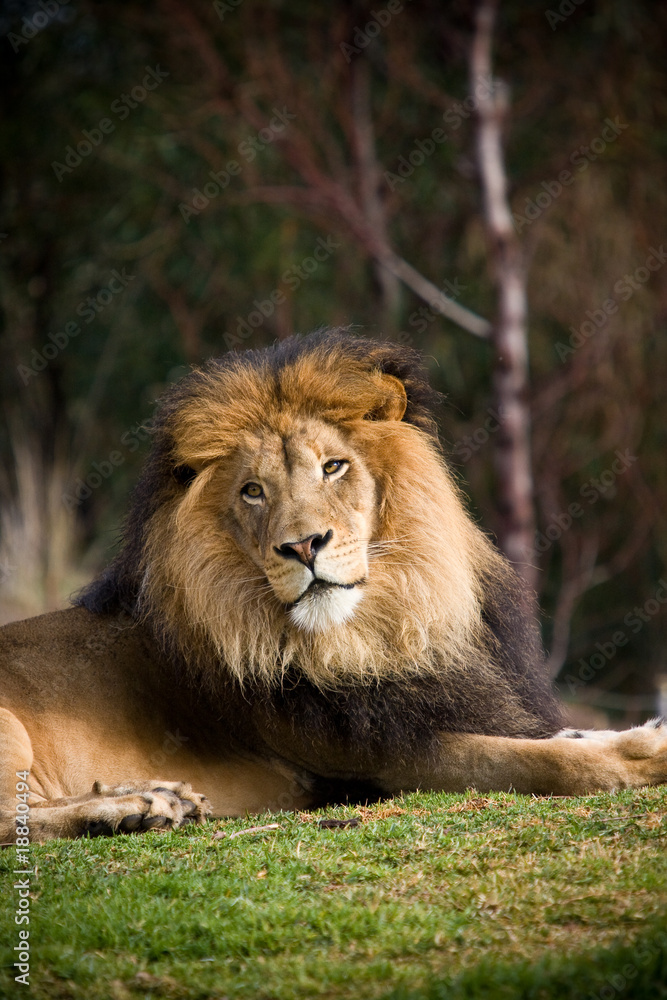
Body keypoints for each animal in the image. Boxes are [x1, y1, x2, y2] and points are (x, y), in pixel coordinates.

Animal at [1, 330, 666, 842]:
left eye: (333, 466)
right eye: (253, 491)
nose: (303, 546)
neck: (374, 632)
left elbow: (553, 737)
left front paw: (620, 730)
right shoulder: (375, 759)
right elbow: (540, 761)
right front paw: (644, 752)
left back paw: (160, 797)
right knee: (17, 820)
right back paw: (131, 809)